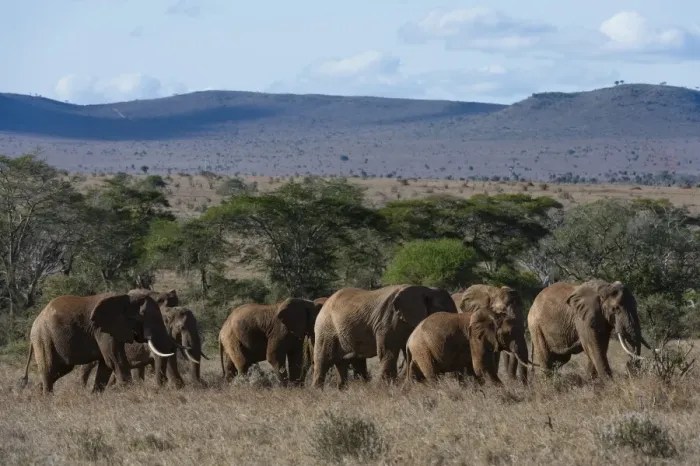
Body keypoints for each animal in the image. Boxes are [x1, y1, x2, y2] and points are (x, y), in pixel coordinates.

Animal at [21, 292, 177, 394]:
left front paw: (96, 396)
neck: (125, 298)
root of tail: (35, 322)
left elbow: (106, 365)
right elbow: (114, 360)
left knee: (59, 370)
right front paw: (129, 392)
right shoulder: (103, 331)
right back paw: (46, 399)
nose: (161, 387)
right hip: (43, 338)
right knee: (49, 370)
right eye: (143, 317)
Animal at [312, 284, 459, 388]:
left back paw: (344, 389)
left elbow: (407, 352)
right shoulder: (388, 321)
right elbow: (388, 352)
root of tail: (326, 302)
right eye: (443, 311)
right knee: (323, 358)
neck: (424, 289)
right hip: (326, 328)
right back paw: (318, 391)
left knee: (347, 361)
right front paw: (385, 387)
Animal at [404, 308, 534, 385]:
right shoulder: (476, 338)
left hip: (419, 352)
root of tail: (409, 340)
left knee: (416, 377)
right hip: (423, 349)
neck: (494, 315)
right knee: (433, 375)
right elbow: (481, 367)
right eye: (509, 333)